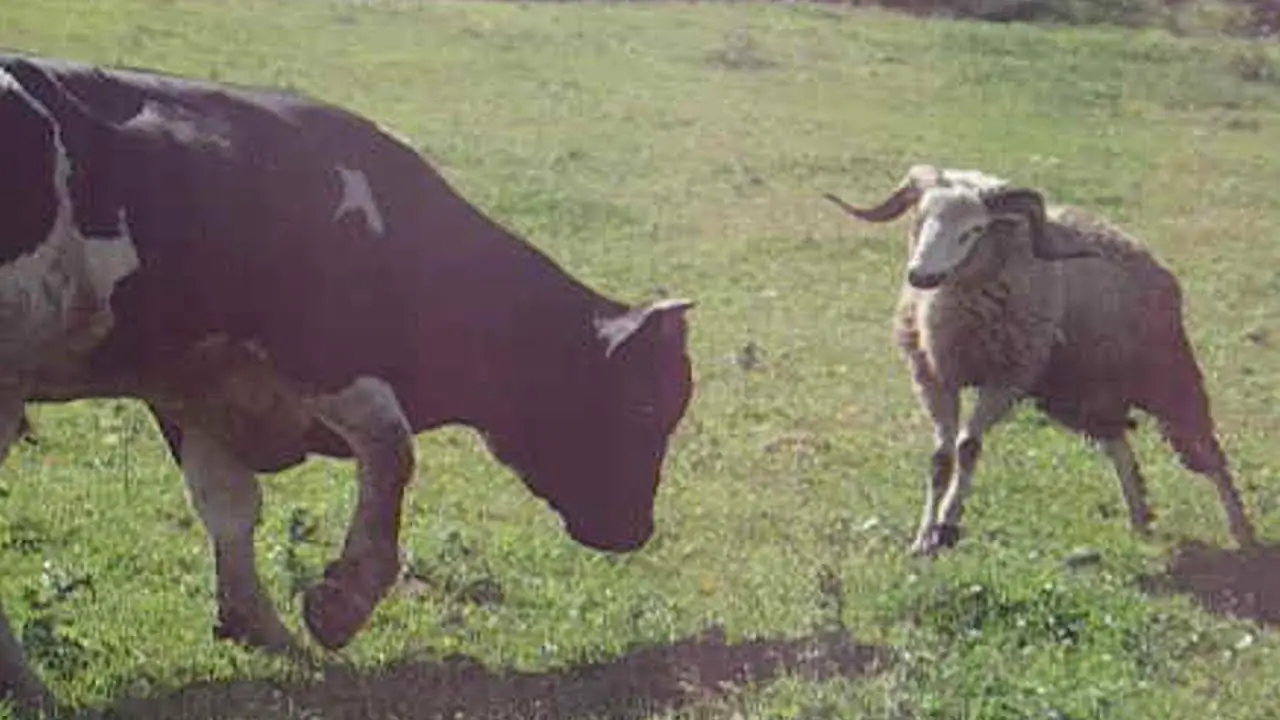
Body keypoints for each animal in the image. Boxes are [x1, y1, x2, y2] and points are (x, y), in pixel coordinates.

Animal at [823, 164, 1257, 556]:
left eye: (974, 230)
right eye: (921, 219)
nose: (921, 277)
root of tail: (1140, 251)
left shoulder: (1006, 379)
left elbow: (967, 448)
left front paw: (947, 525)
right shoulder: (934, 377)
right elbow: (941, 459)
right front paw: (923, 538)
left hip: (1168, 375)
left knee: (1207, 452)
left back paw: (1242, 530)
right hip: (1085, 391)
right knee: (1118, 444)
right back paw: (1140, 519)